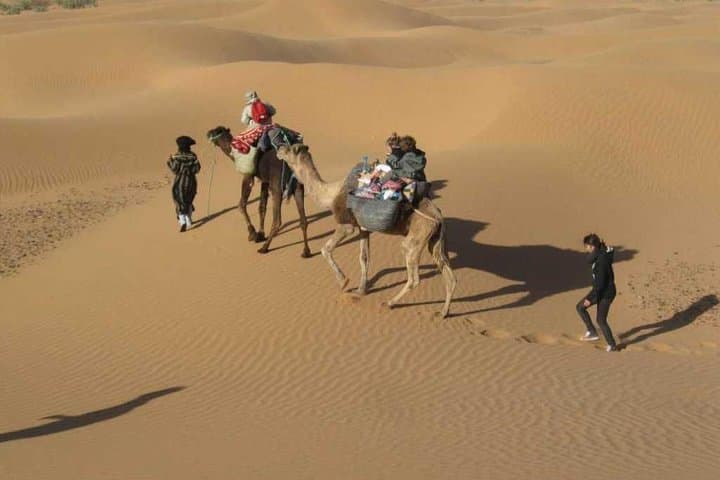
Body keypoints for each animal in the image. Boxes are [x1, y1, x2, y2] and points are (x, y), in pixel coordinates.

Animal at [207, 126, 311, 258]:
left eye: (215, 131)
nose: (207, 133)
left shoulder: (247, 175)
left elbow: (241, 204)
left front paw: (252, 233)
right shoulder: (265, 181)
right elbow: (261, 207)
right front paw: (260, 234)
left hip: (277, 188)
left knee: (277, 220)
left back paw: (264, 248)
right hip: (298, 186)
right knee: (303, 220)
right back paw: (306, 251)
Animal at [276, 144, 457, 318]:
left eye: (290, 148)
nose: (278, 150)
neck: (331, 194)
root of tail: (438, 217)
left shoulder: (346, 225)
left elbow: (325, 249)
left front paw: (344, 282)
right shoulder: (363, 229)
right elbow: (364, 257)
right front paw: (361, 290)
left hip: (417, 236)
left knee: (414, 277)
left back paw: (390, 302)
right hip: (435, 238)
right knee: (449, 275)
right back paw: (443, 312)